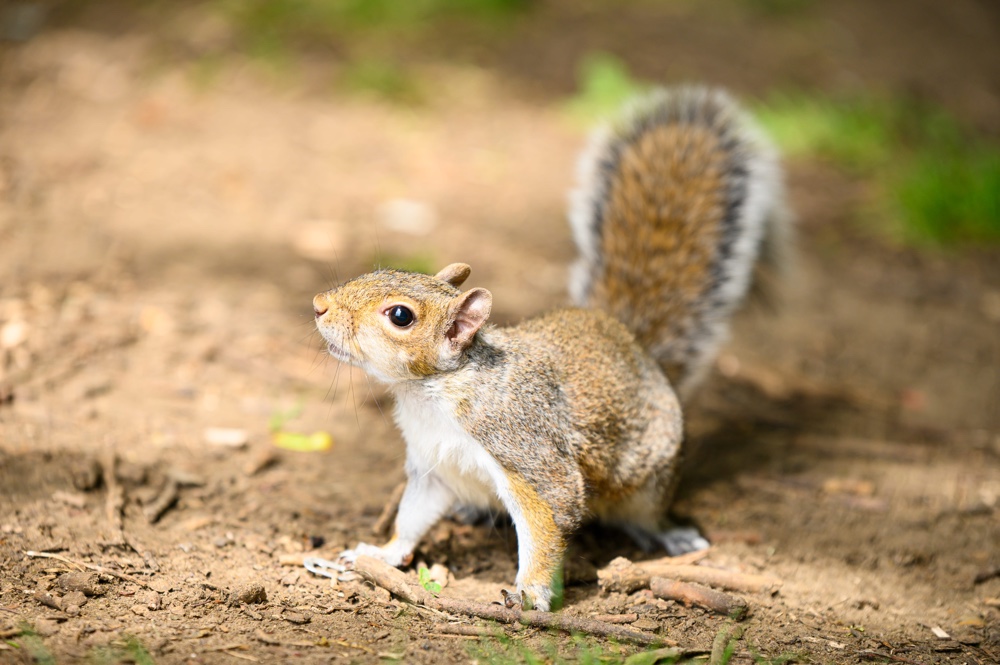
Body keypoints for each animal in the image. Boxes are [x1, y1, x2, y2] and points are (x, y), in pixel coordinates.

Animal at [312, 86, 789, 611]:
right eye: (381, 271)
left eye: (400, 316)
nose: (318, 306)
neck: (435, 391)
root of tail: (633, 343)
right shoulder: (433, 466)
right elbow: (412, 517)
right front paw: (379, 551)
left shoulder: (526, 451)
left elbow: (549, 519)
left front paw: (532, 592)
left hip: (650, 478)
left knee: (646, 513)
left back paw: (671, 533)